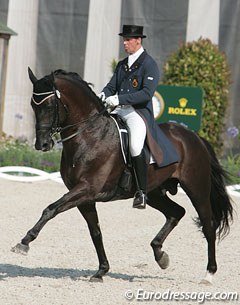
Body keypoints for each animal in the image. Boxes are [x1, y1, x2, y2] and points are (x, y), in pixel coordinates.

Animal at [11, 68, 232, 282]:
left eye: (49, 106)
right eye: (32, 105)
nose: (42, 144)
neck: (89, 135)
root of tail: (194, 137)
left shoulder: (86, 189)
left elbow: (51, 209)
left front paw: (24, 242)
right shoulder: (84, 197)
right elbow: (95, 232)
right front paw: (101, 271)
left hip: (197, 189)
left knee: (208, 225)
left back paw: (209, 274)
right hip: (154, 192)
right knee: (176, 212)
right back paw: (160, 255)